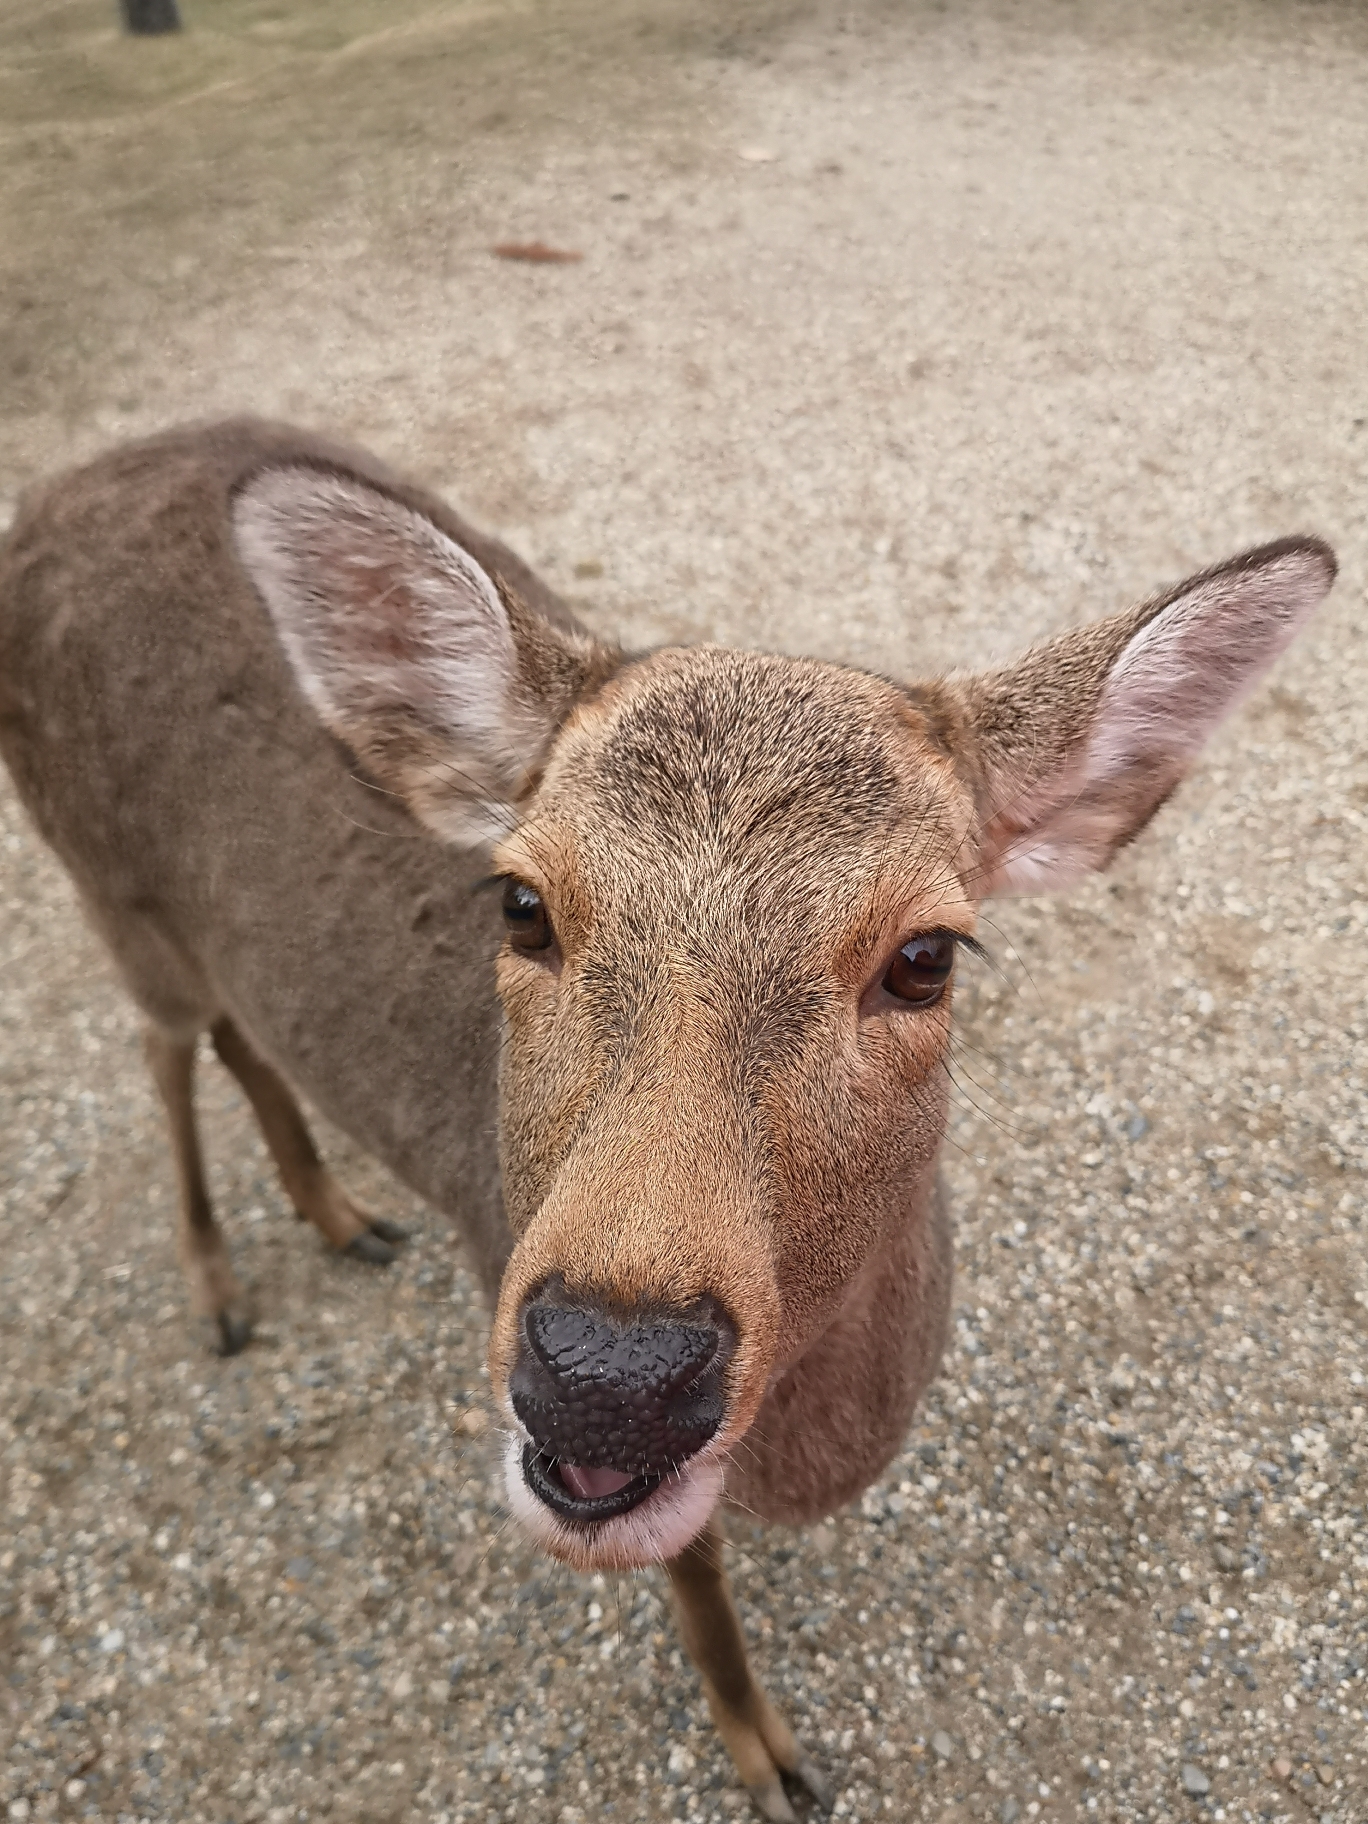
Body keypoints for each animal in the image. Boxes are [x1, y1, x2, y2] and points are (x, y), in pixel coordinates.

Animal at [0, 419, 1335, 1816]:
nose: (607, 1376)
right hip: (105, 884)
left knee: (237, 1028)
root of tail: (56, 491)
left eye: (926, 956)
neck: (815, 1454)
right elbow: (691, 1571)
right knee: (163, 1045)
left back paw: (340, 1214)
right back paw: (219, 1289)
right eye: (521, 903)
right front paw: (771, 1757)